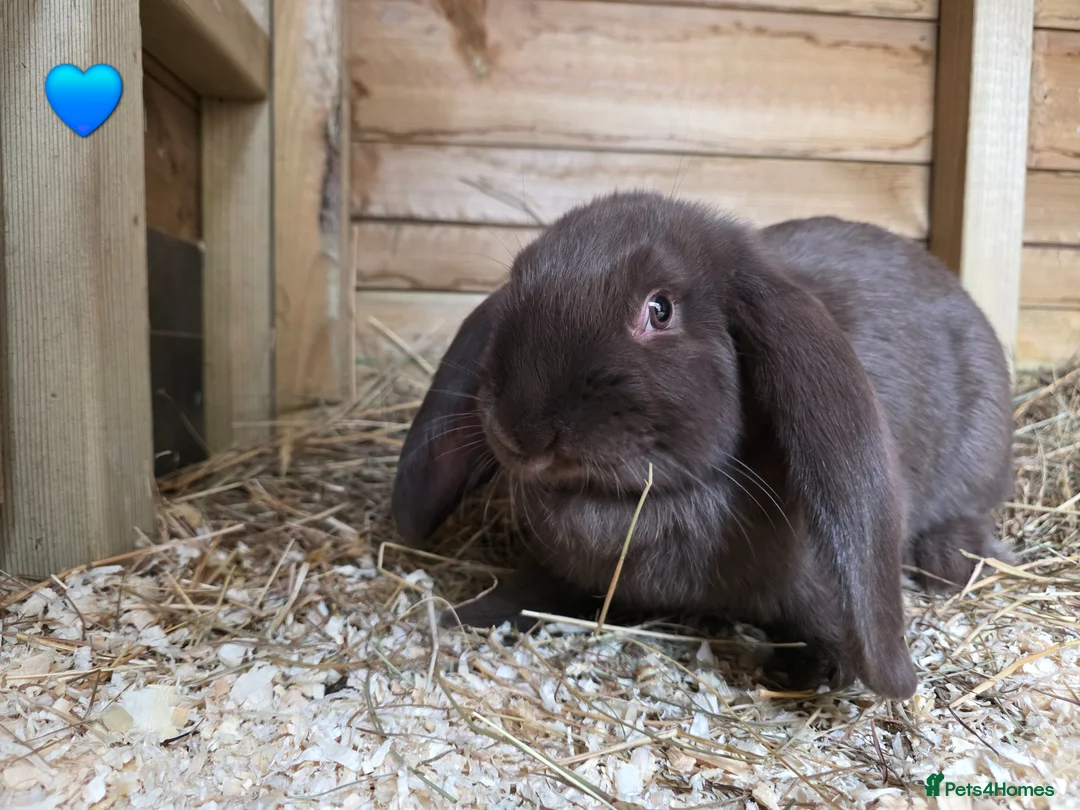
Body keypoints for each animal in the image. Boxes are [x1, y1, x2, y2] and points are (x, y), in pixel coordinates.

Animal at [390, 190, 1015, 701]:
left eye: (660, 309)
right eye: (518, 286)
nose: (523, 432)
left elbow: (830, 623)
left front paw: (810, 673)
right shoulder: (558, 568)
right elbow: (532, 589)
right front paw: (468, 615)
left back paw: (953, 560)